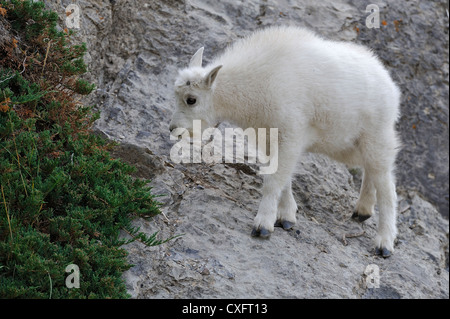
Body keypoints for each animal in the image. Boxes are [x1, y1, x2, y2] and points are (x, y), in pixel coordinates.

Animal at [170, 26, 400, 258]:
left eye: (191, 99)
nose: (174, 130)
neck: (255, 85)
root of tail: (390, 84)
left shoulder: (291, 134)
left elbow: (274, 180)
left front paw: (263, 225)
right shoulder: (268, 138)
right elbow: (283, 177)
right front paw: (286, 217)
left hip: (376, 136)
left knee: (387, 187)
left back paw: (384, 243)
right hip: (349, 145)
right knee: (369, 169)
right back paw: (363, 210)